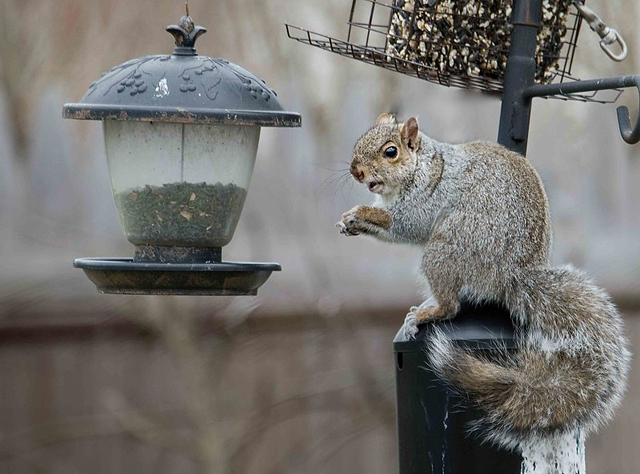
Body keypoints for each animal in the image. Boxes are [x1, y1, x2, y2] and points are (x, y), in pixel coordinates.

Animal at [336, 113, 631, 451]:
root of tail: (512, 277)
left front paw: (361, 213)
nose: (356, 171)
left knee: (451, 305)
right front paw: (349, 223)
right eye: (359, 143)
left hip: (444, 251)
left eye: (390, 152)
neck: (423, 165)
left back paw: (427, 312)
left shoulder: (424, 200)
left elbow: (405, 225)